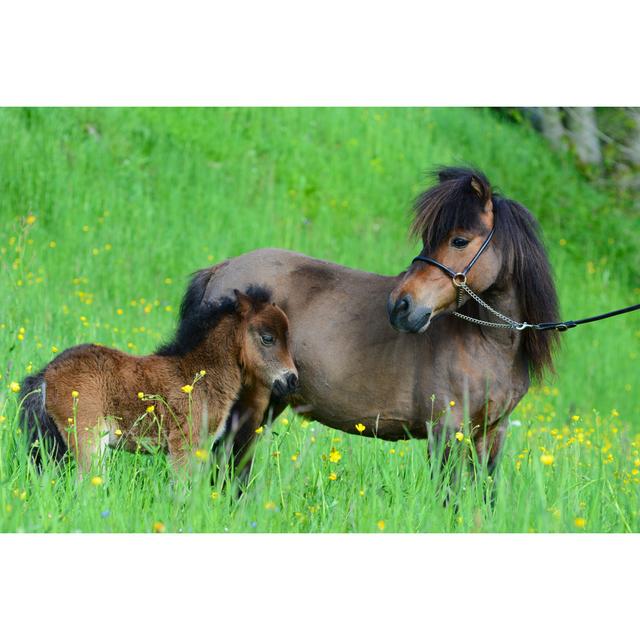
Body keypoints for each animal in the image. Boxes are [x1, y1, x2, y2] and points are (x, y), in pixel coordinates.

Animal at [21, 286, 298, 476]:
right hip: (89, 442)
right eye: (267, 338)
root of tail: (46, 374)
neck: (197, 374)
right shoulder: (183, 445)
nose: (291, 380)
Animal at [192, 168, 556, 472]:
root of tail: (222, 269)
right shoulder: (447, 431)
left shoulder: (491, 434)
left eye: (459, 240)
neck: (489, 344)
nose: (400, 306)